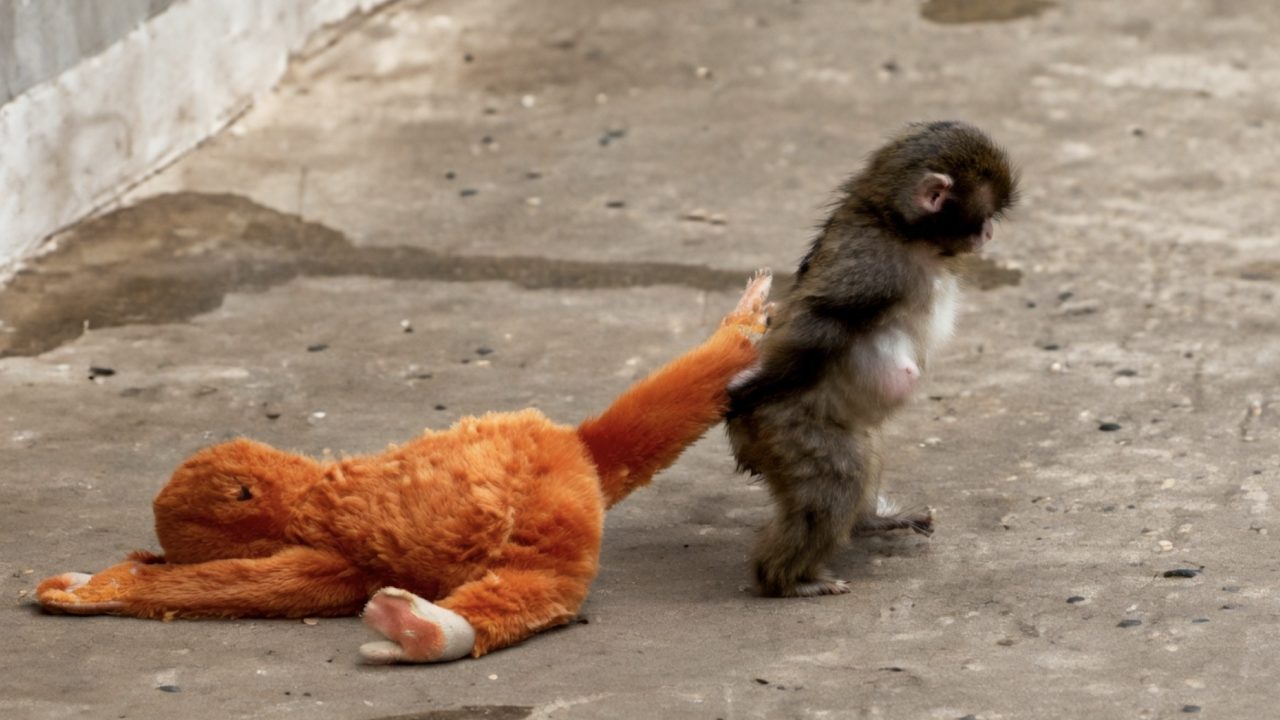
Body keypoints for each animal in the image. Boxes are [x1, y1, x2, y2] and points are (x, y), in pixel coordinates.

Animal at [725, 121, 1018, 598]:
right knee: (839, 478)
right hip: (785, 428)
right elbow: (821, 319)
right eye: (986, 212)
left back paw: (869, 524)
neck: (895, 225)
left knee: (864, 451)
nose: (989, 230)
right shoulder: (876, 265)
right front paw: (745, 392)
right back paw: (788, 581)